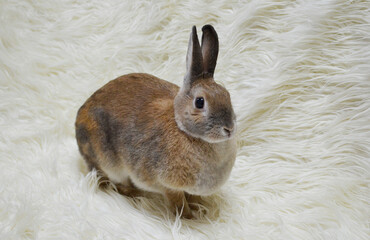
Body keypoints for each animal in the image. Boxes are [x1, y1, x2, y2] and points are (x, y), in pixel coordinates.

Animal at [75, 24, 237, 219]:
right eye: (200, 102)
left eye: (227, 95)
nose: (229, 129)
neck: (184, 130)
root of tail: (79, 118)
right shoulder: (167, 185)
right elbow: (178, 202)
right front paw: (189, 217)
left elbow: (190, 197)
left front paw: (200, 209)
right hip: (108, 162)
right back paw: (135, 194)